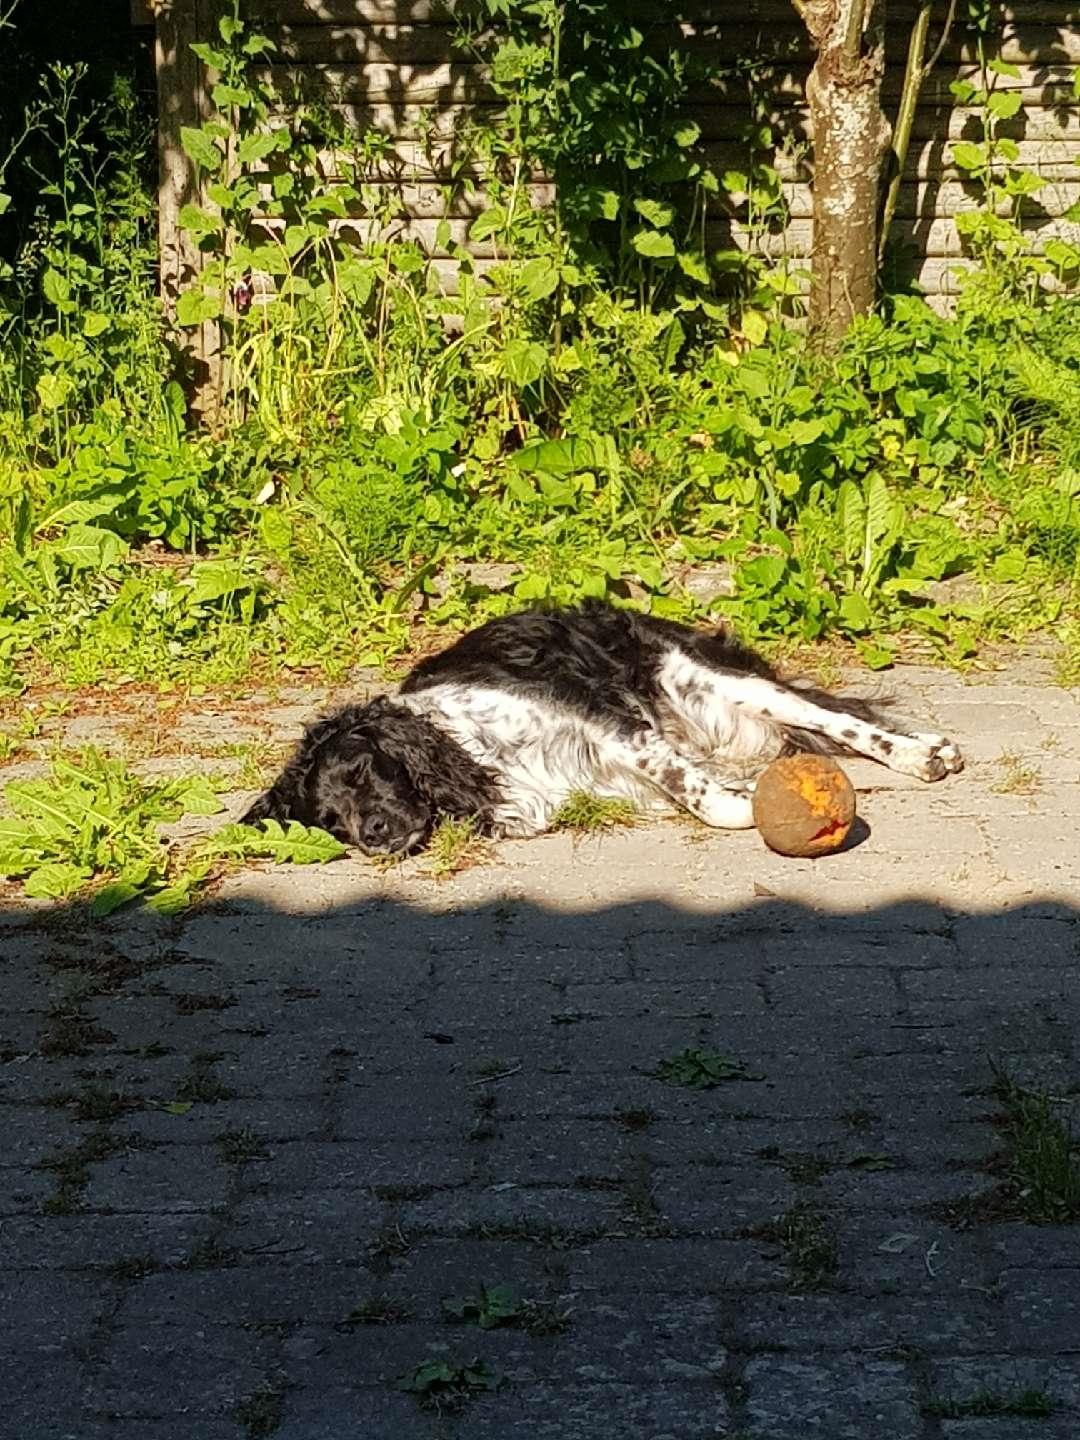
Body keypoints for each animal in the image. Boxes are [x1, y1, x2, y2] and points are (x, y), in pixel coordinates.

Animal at [243, 599, 961, 852]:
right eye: (329, 823)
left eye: (363, 771)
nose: (372, 835)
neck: (471, 750)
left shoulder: (613, 724)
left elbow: (699, 795)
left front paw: (740, 806)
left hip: (712, 677)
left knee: (839, 718)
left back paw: (923, 753)